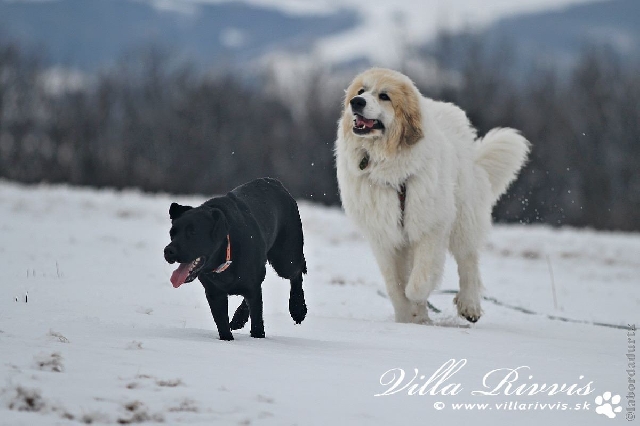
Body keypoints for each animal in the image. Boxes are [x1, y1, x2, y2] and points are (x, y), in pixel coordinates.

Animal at [164, 178, 306, 342]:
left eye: (193, 232)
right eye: (173, 232)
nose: (168, 251)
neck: (226, 255)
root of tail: (275, 182)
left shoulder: (252, 289)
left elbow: (257, 321)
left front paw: (258, 338)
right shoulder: (214, 294)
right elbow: (222, 324)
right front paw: (228, 339)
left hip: (285, 259)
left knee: (298, 271)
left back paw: (298, 308)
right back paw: (238, 319)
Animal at [336, 68, 528, 324]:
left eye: (384, 96)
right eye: (361, 91)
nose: (357, 102)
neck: (389, 168)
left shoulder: (430, 225)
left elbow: (419, 279)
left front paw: (417, 302)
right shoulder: (383, 236)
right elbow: (394, 285)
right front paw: (408, 317)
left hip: (463, 216)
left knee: (468, 260)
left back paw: (469, 305)